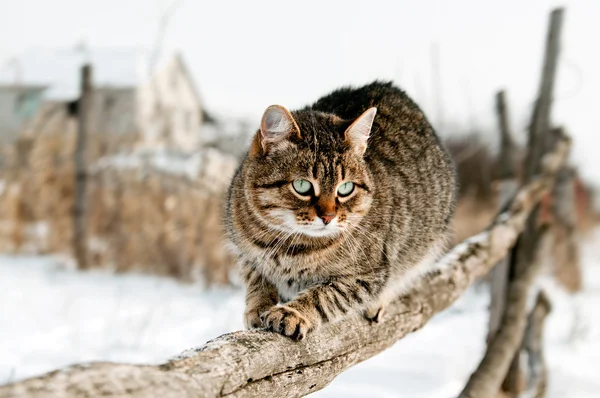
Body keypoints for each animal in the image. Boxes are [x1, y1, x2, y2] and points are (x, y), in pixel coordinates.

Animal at [224, 81, 454, 342]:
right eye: (302, 186)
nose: (328, 217)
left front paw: (292, 313)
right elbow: (256, 280)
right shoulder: (243, 251)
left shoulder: (367, 275)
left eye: (345, 188)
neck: (287, 246)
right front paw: (259, 306)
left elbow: (324, 296)